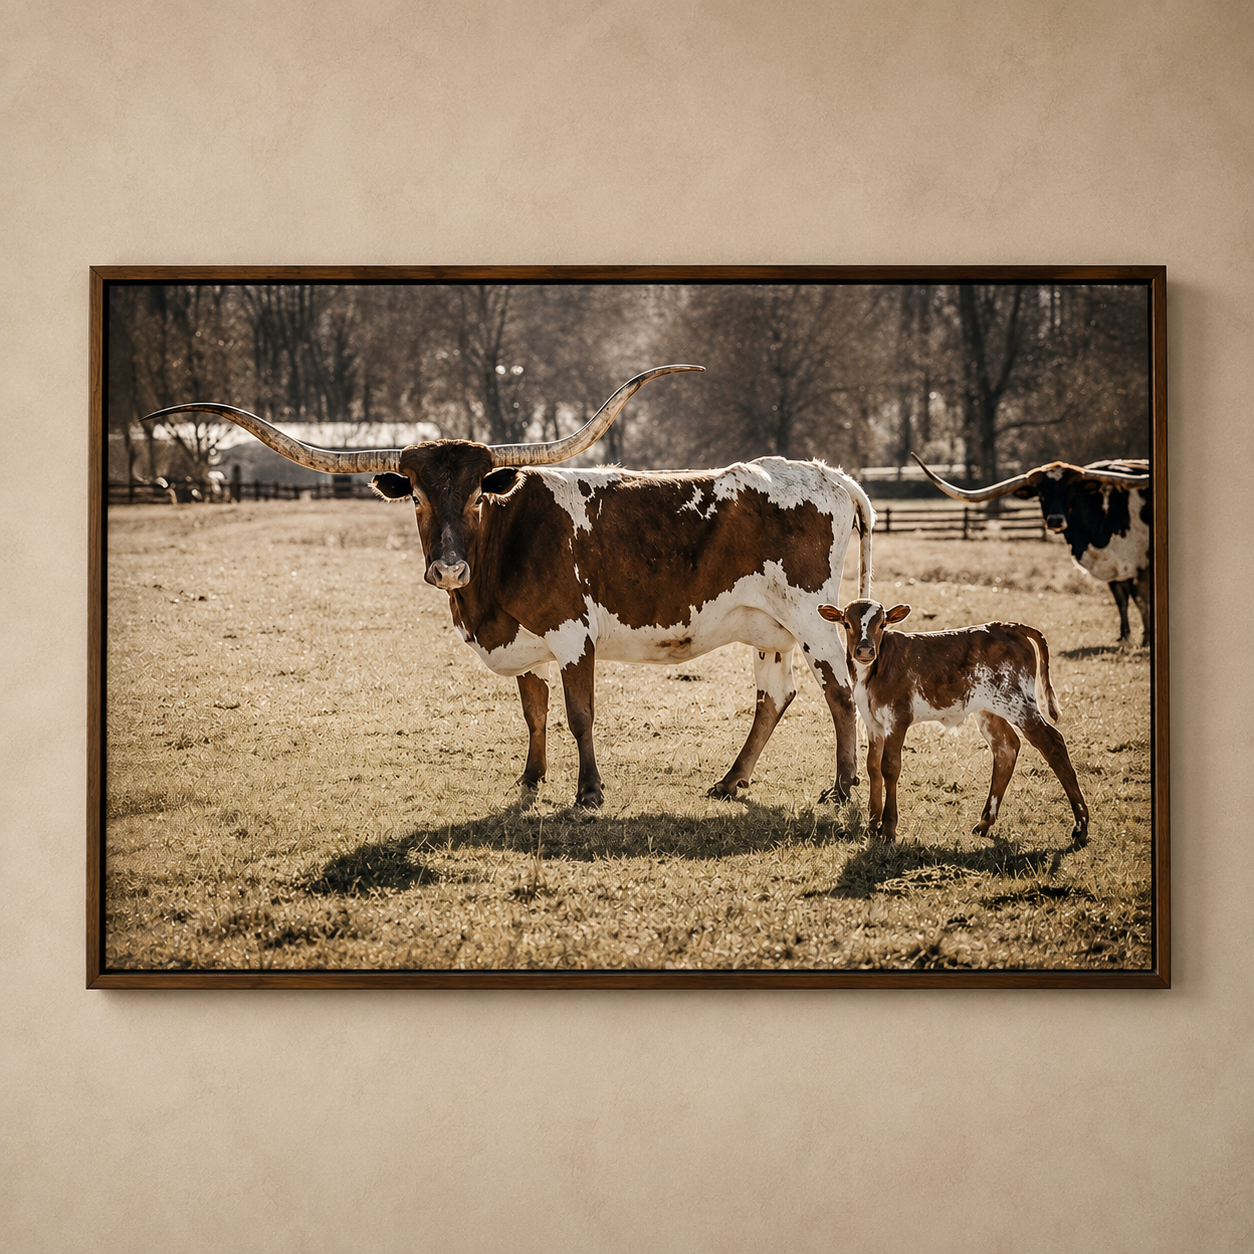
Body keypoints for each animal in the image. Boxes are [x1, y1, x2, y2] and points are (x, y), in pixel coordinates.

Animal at [146, 366, 876, 809]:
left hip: (814, 616)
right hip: (769, 626)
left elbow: (579, 712)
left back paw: (841, 790)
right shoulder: (523, 646)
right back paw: (731, 781)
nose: (447, 569)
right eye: (415, 496)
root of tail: (830, 474)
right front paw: (530, 780)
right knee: (773, 696)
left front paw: (589, 792)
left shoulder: (573, 634)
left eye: (476, 496)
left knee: (839, 691)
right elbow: (534, 711)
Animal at [816, 599, 1089, 846]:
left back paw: (1081, 825)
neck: (874, 671)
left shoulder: (898, 718)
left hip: (1018, 702)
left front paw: (889, 828)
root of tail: (1006, 627)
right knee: (1006, 748)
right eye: (847, 624)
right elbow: (873, 766)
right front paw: (873, 822)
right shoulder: (872, 722)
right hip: (989, 708)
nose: (865, 650)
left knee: (1052, 742)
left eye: (882, 624)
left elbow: (889, 767)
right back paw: (984, 823)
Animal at [911, 454, 1152, 647]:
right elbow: (1121, 600)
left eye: (1072, 490)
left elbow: (1141, 601)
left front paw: (1145, 639)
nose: (1055, 520)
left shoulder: (1140, 566)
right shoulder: (1115, 566)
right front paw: (1124, 637)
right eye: (1042, 493)